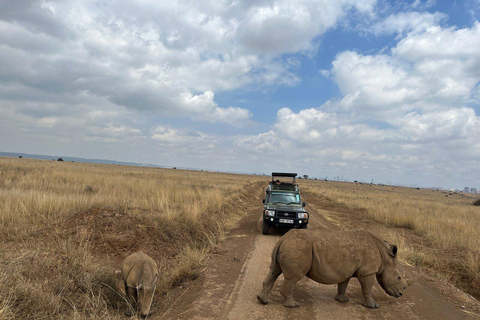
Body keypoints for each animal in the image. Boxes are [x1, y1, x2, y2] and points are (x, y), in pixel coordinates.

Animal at [256, 230, 410, 308]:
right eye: (398, 278)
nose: (401, 294)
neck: (385, 256)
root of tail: (283, 237)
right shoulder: (368, 271)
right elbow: (367, 289)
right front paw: (373, 306)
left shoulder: (347, 270)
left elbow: (343, 284)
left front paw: (342, 300)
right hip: (298, 246)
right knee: (293, 278)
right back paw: (293, 305)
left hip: (290, 245)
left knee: (274, 272)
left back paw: (262, 300)